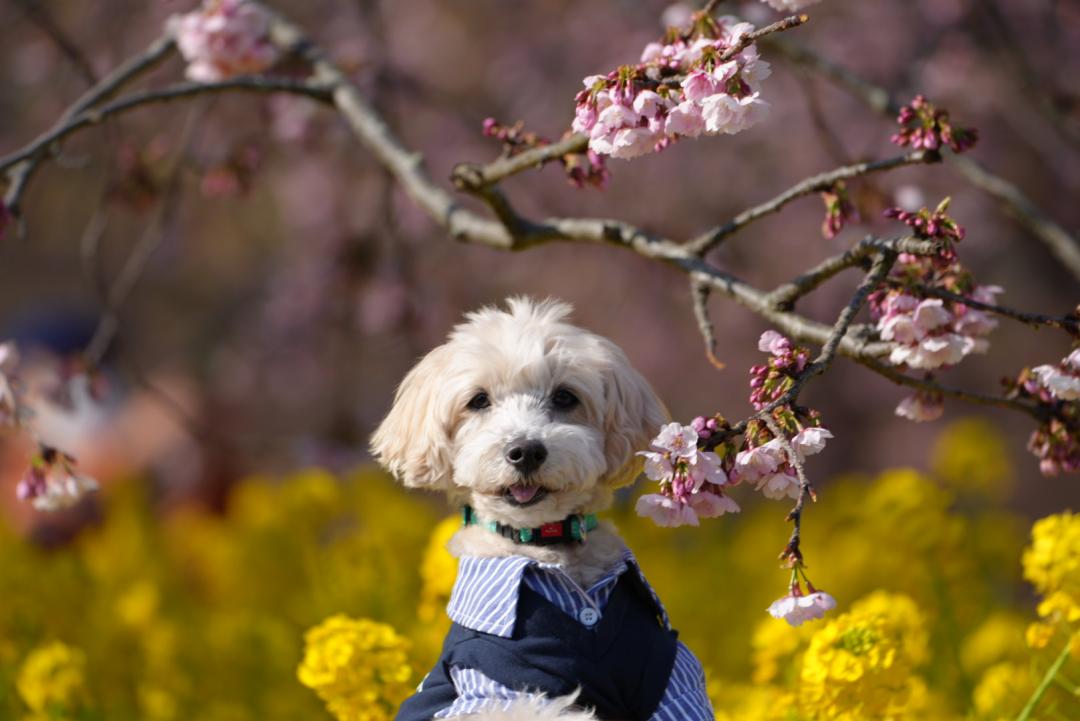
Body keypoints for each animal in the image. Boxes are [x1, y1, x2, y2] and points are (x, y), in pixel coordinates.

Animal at [375, 297, 712, 721]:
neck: (542, 542)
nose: (526, 451)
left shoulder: (670, 672)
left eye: (565, 397)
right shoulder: (490, 682)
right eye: (478, 400)